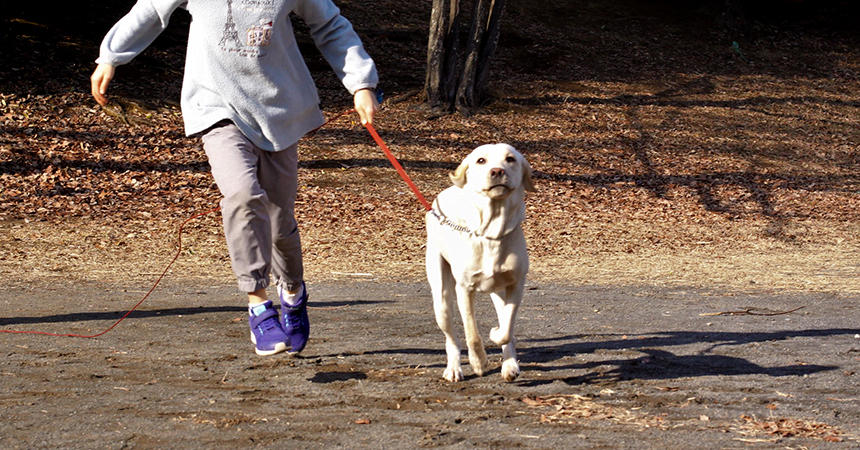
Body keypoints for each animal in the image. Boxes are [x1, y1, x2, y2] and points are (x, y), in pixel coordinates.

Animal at [426, 142, 536, 382]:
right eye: (481, 160)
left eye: (510, 159)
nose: (497, 171)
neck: (491, 233)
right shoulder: (464, 289)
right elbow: (471, 332)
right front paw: (478, 362)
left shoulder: (516, 284)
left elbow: (507, 328)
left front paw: (497, 337)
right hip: (441, 300)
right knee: (451, 338)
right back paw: (454, 368)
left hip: (498, 290)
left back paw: (510, 365)